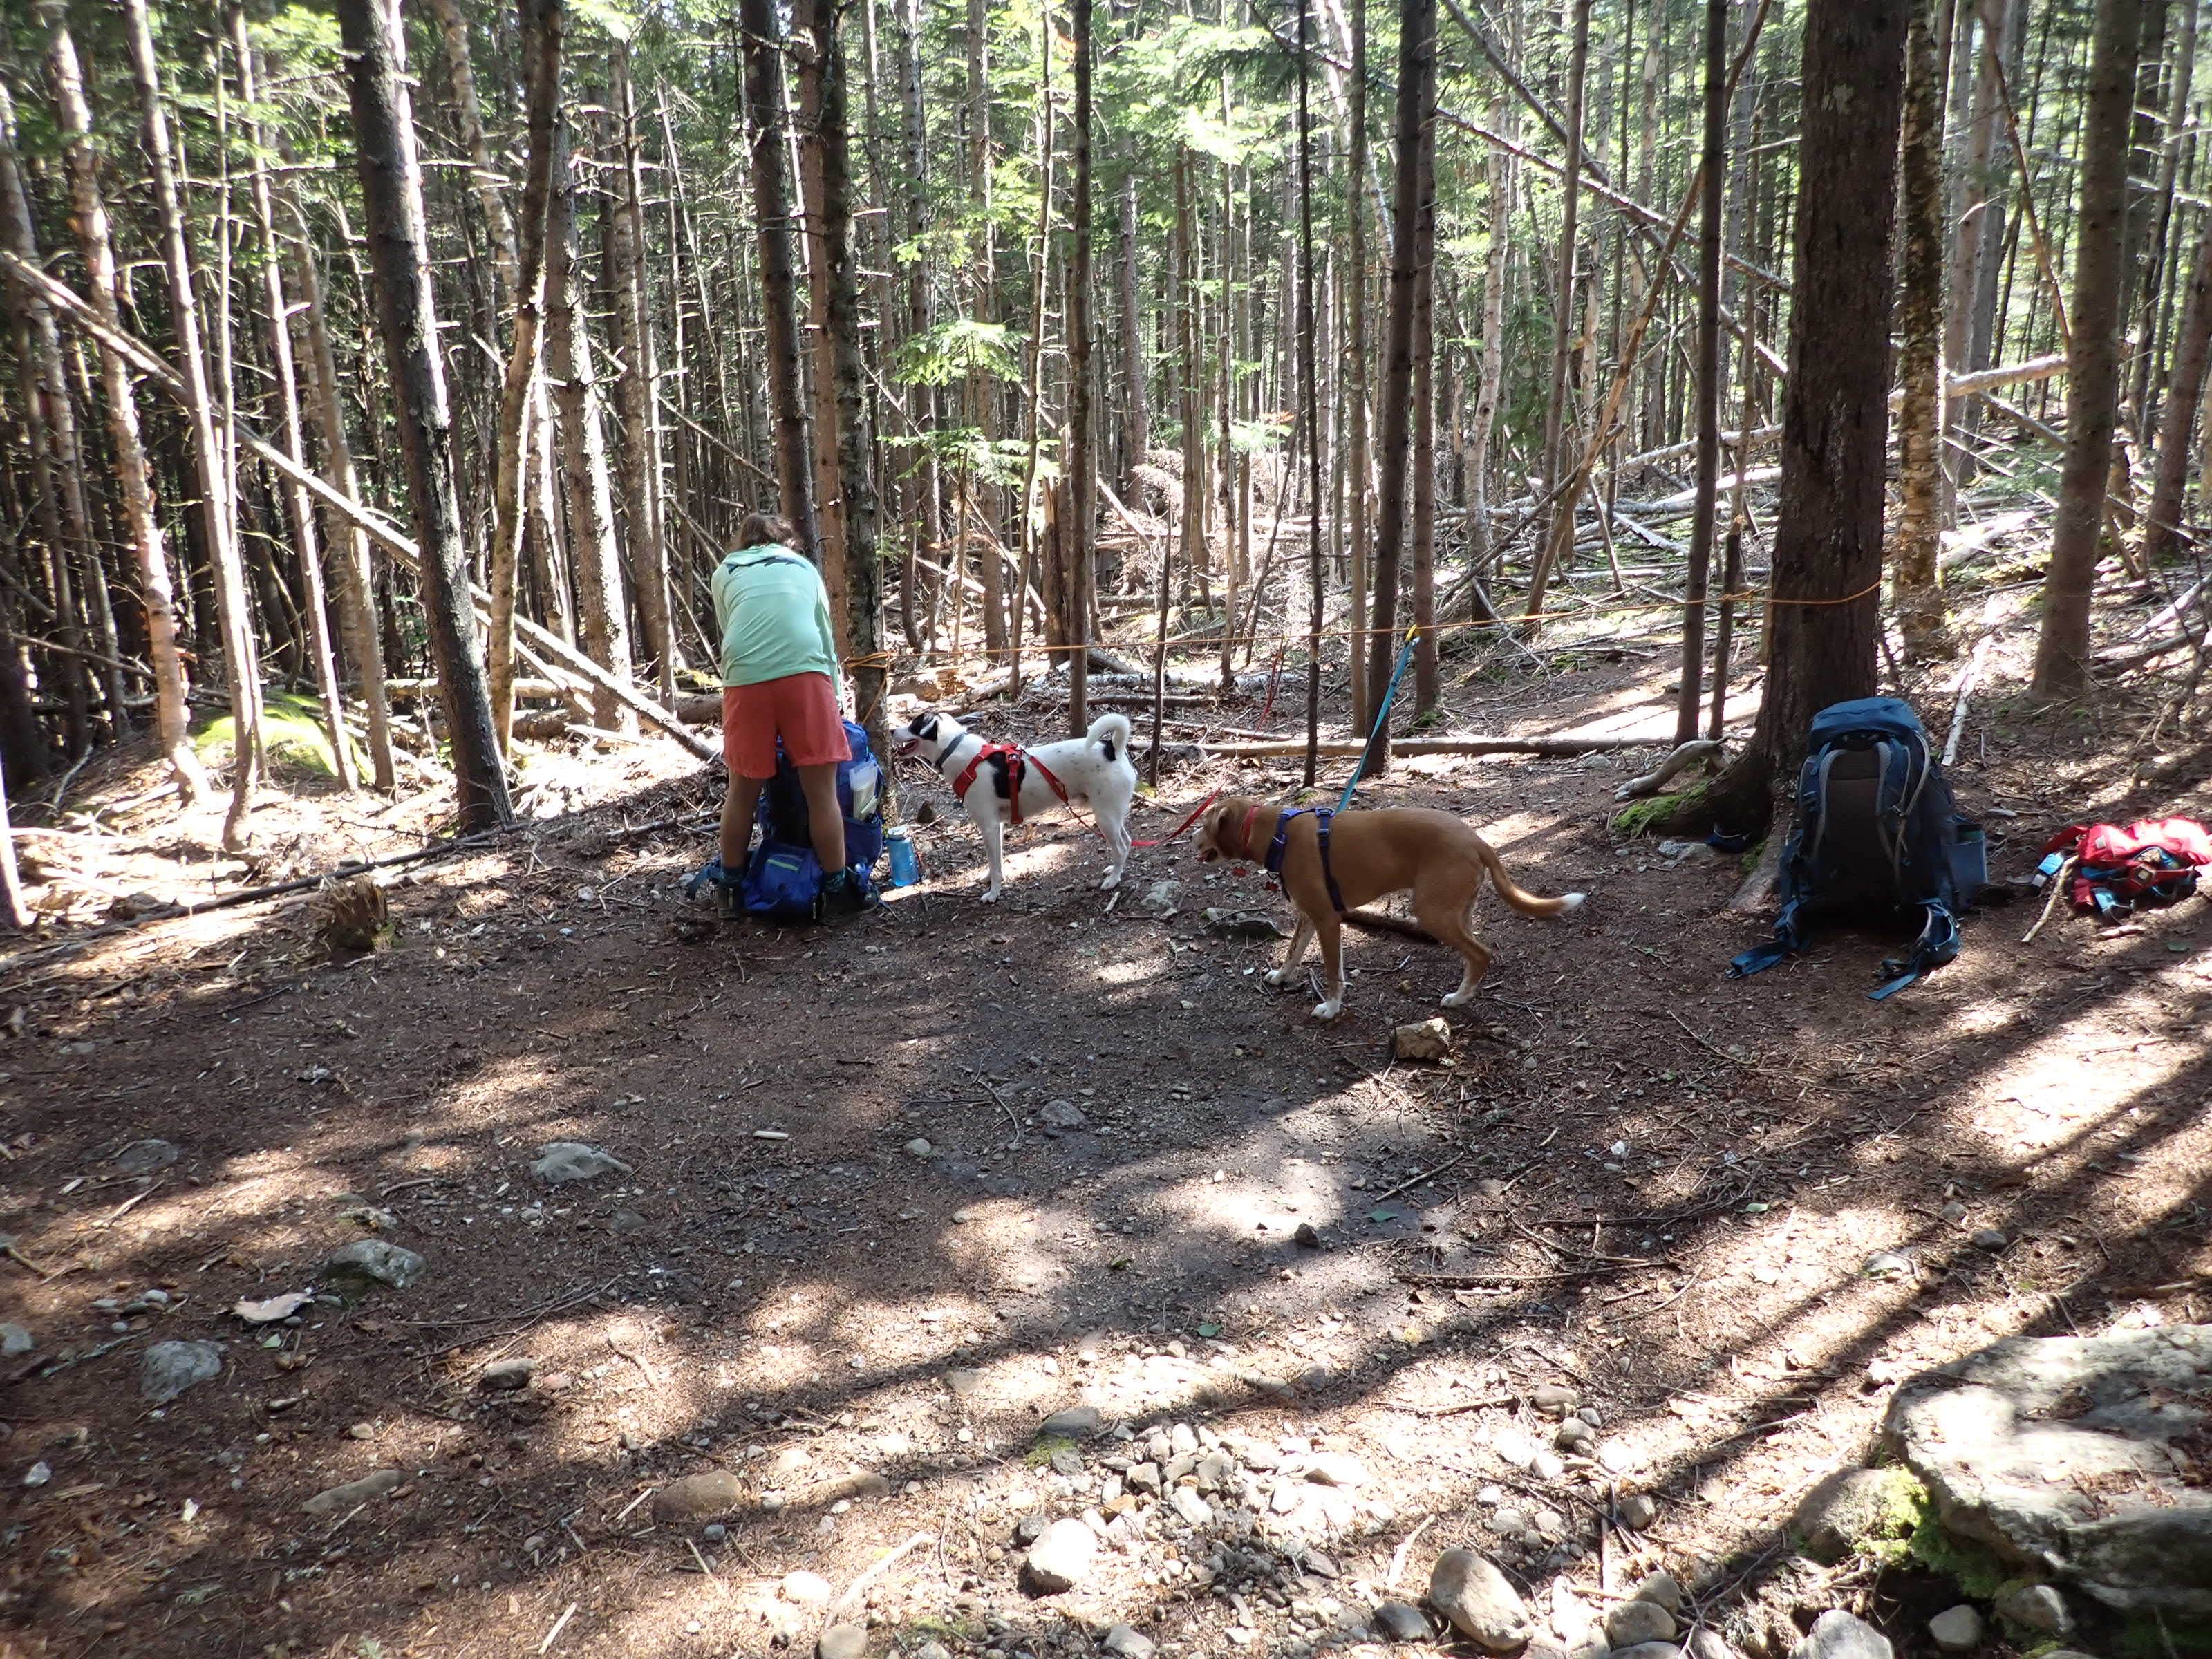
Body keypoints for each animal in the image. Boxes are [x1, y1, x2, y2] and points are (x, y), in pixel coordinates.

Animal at [889, 708, 1141, 902]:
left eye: (914, 724)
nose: (891, 730)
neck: (956, 750)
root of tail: (1113, 749)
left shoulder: (989, 826)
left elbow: (995, 863)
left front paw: (993, 893)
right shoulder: (997, 827)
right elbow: (996, 862)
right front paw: (990, 879)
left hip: (1105, 817)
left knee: (1121, 847)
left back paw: (1113, 880)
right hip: (1112, 814)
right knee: (1127, 842)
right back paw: (1113, 870)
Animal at [1203, 800, 1584, 1022]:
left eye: (1203, 827)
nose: (1192, 839)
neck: (1279, 834)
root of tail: (1477, 840)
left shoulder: (1327, 920)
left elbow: (1332, 973)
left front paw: (1331, 1008)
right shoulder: (1310, 917)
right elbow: (1295, 952)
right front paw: (1282, 977)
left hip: (1434, 914)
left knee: (1481, 953)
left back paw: (1459, 998)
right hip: (1458, 911)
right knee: (1475, 952)